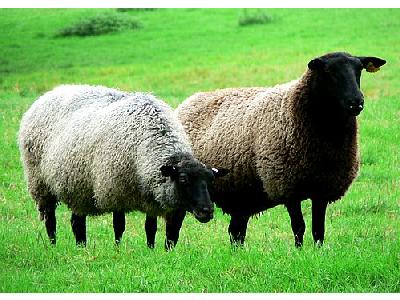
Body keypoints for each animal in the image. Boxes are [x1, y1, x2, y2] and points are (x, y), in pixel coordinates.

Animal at [18, 84, 228, 248]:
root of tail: (49, 93)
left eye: (210, 181)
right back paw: (53, 245)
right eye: (183, 179)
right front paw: (118, 250)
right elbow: (119, 226)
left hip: (78, 186)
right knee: (50, 219)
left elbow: (150, 227)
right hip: (40, 183)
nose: (207, 211)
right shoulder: (115, 190)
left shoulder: (149, 197)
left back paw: (81, 247)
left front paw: (151, 250)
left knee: (77, 222)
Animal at [177, 52, 386, 247]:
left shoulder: (322, 189)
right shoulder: (286, 186)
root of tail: (188, 101)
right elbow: (299, 227)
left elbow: (318, 229)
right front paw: (299, 253)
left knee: (236, 232)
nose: (356, 101)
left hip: (241, 194)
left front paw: (318, 253)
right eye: (328, 71)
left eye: (359, 69)